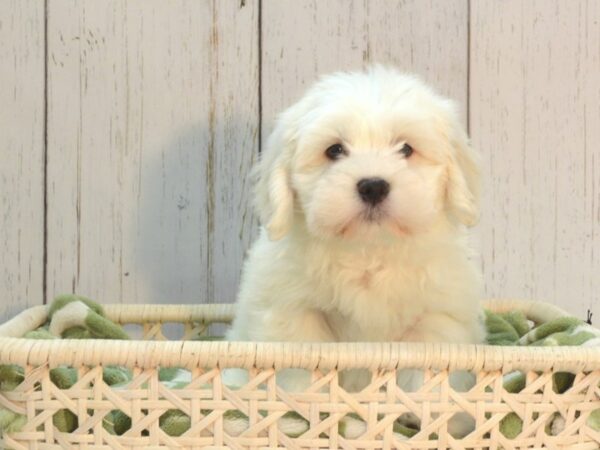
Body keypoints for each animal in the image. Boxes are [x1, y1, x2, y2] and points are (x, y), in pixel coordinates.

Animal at [225, 65, 482, 396]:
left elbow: (426, 373)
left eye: (406, 148)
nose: (373, 186)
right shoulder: (295, 313)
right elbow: (300, 372)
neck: (368, 250)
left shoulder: (436, 319)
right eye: (334, 150)